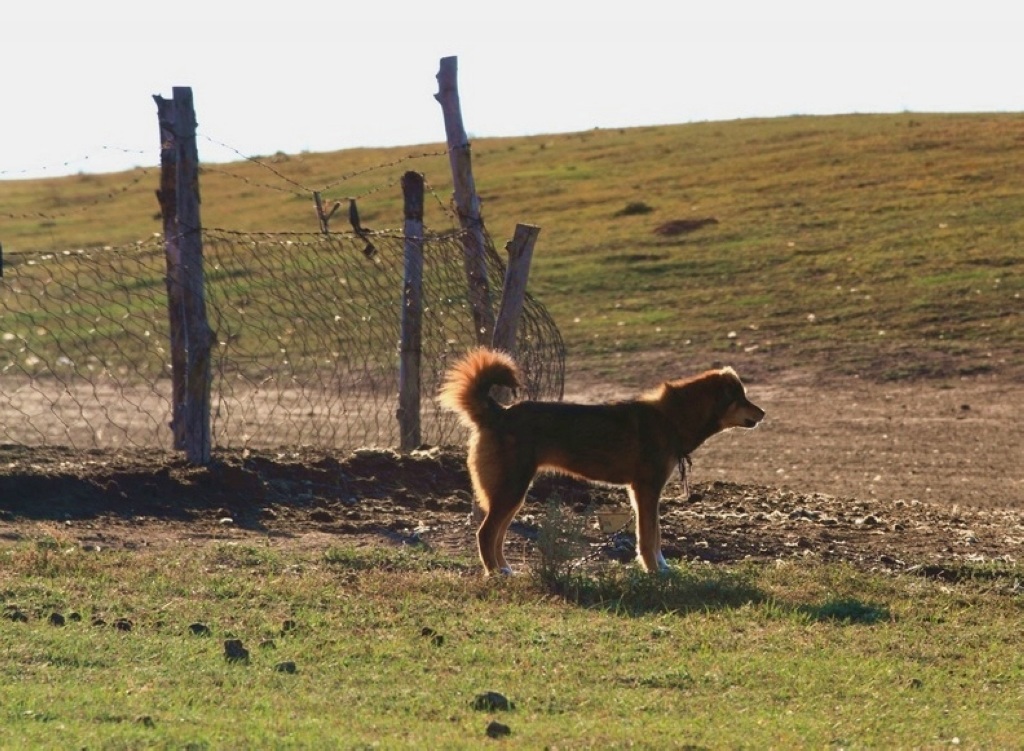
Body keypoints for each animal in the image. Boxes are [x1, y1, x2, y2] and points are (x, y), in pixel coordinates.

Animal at [436, 346, 765, 573]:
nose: (763, 413)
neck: (671, 419)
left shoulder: (644, 492)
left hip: (512, 494)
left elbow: (655, 534)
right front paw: (654, 570)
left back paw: (505, 568)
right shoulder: (646, 490)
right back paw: (496, 573)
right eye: (742, 397)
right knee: (485, 533)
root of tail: (498, 413)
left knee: (496, 534)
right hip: (511, 490)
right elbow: (649, 536)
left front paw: (661, 566)